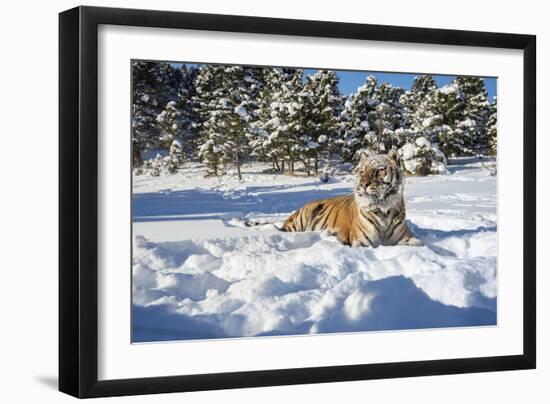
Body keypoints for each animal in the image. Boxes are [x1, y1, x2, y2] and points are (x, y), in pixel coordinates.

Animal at [282, 150, 424, 248]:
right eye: (362, 172)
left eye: (379, 171)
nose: (363, 184)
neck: (383, 209)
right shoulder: (362, 241)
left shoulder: (408, 238)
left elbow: (417, 243)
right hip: (302, 217)